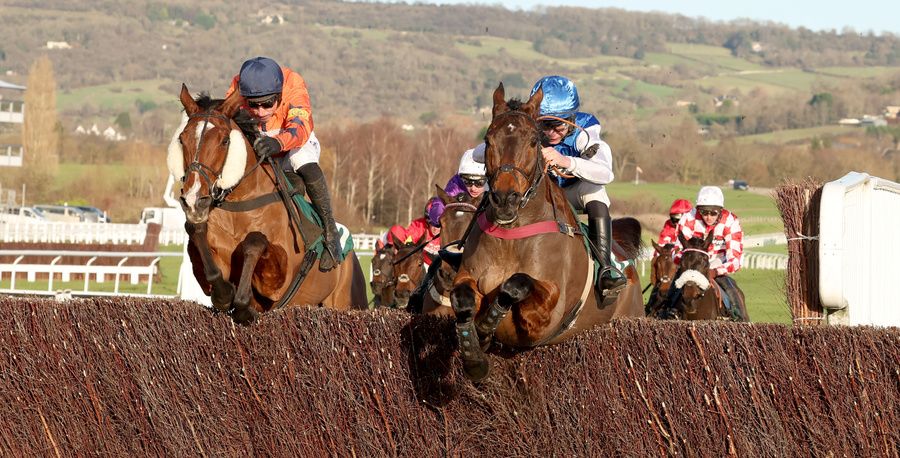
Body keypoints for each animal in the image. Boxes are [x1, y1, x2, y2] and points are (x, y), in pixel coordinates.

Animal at [167, 84, 368, 324]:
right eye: (182, 139)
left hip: (348, 300)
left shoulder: (279, 278)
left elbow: (255, 241)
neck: (239, 204)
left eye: (225, 141)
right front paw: (226, 295)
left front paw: (243, 305)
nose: (194, 200)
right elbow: (197, 236)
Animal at [450, 84, 648, 382]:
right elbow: (461, 299)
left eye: (534, 141)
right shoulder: (468, 275)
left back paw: (610, 278)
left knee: (592, 189)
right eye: (488, 139)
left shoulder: (544, 317)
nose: (505, 199)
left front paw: (485, 327)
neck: (512, 233)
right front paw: (474, 356)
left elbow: (515, 284)